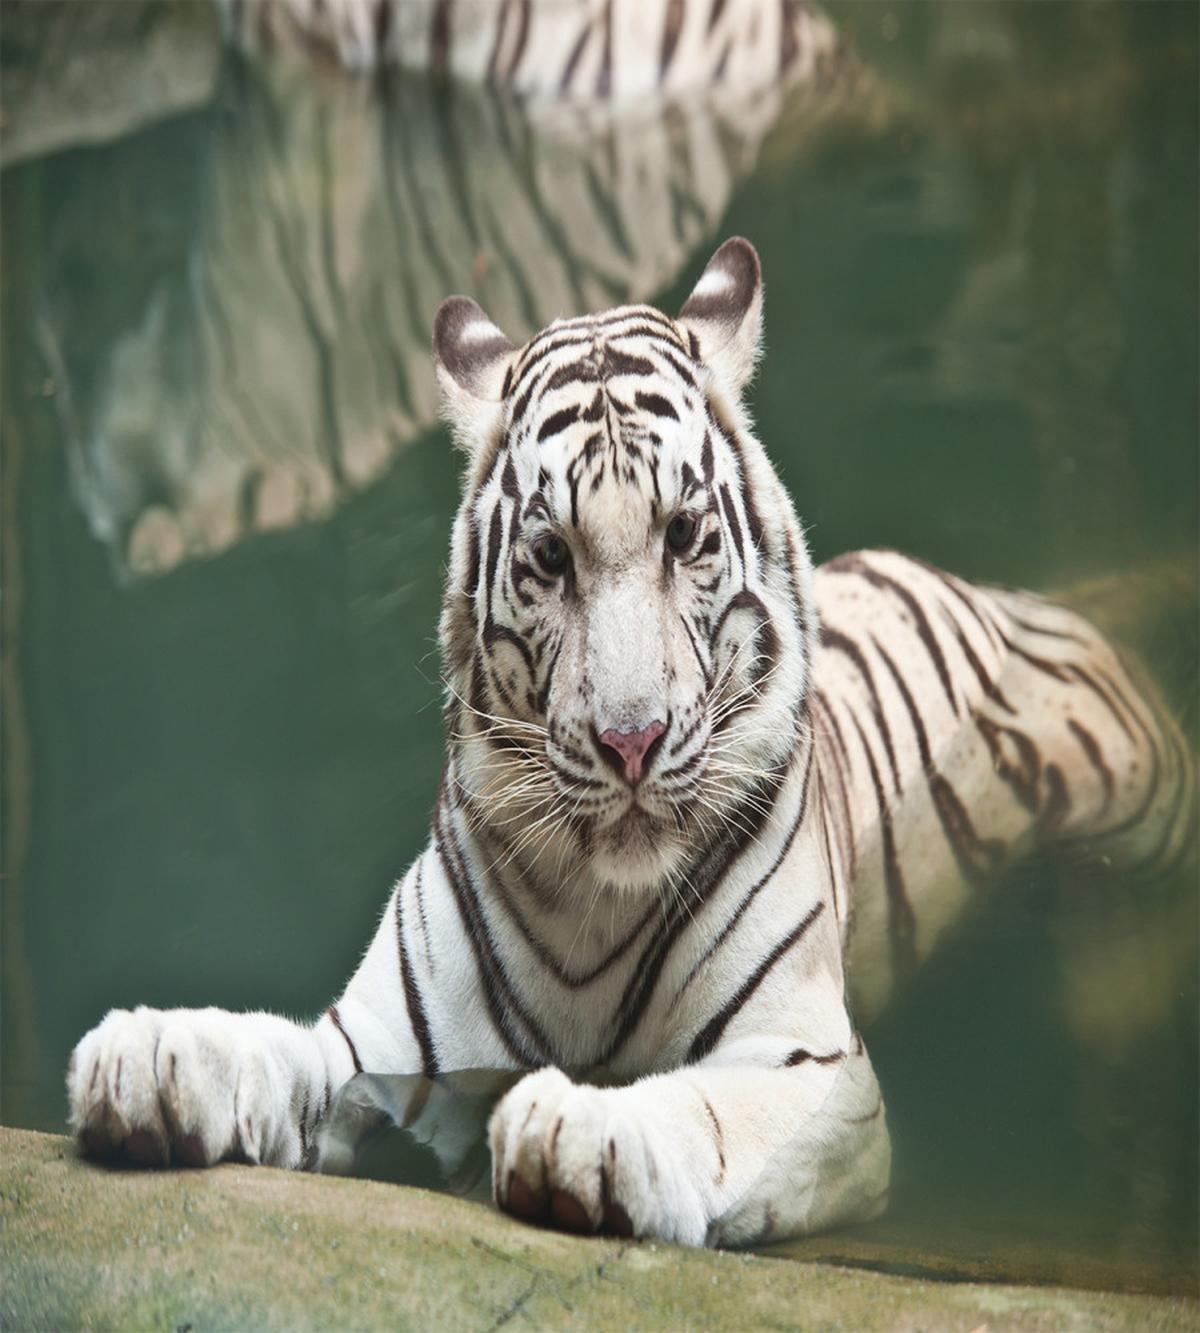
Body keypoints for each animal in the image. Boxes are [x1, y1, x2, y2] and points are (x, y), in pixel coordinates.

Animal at [66, 238, 1193, 1246]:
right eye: (551, 556)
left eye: (683, 535)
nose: (632, 740)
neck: (588, 904)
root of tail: (1008, 591)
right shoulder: (376, 1049)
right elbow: (273, 1050)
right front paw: (153, 1055)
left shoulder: (813, 1071)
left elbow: (705, 1106)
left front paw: (582, 1126)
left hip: (1143, 785)